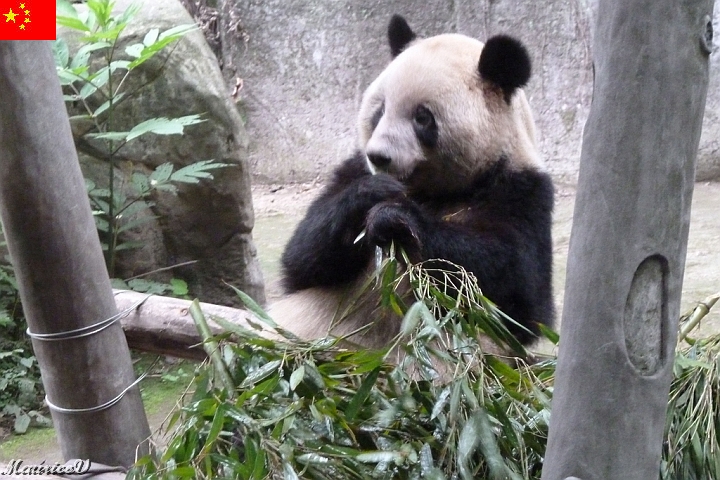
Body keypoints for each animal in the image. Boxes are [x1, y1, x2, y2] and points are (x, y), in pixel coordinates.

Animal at [267, 14, 554, 352]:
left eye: (422, 117)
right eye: (379, 111)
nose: (379, 157)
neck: (431, 192)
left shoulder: (521, 191)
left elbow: (517, 296)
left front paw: (395, 218)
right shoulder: (352, 169)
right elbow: (301, 261)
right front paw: (372, 194)